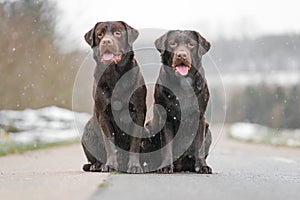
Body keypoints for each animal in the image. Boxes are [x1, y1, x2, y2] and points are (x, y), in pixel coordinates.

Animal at [81, 20, 147, 173]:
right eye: (99, 34)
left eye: (117, 33)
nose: (106, 41)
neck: (115, 74)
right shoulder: (103, 114)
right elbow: (109, 142)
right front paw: (110, 165)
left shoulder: (138, 112)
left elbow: (135, 143)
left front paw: (135, 166)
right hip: (87, 134)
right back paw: (96, 165)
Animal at [146, 29, 213, 173]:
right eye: (173, 43)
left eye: (191, 44)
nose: (182, 55)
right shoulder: (166, 117)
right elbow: (167, 146)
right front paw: (165, 167)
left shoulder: (200, 117)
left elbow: (199, 146)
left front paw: (202, 166)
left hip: (208, 129)